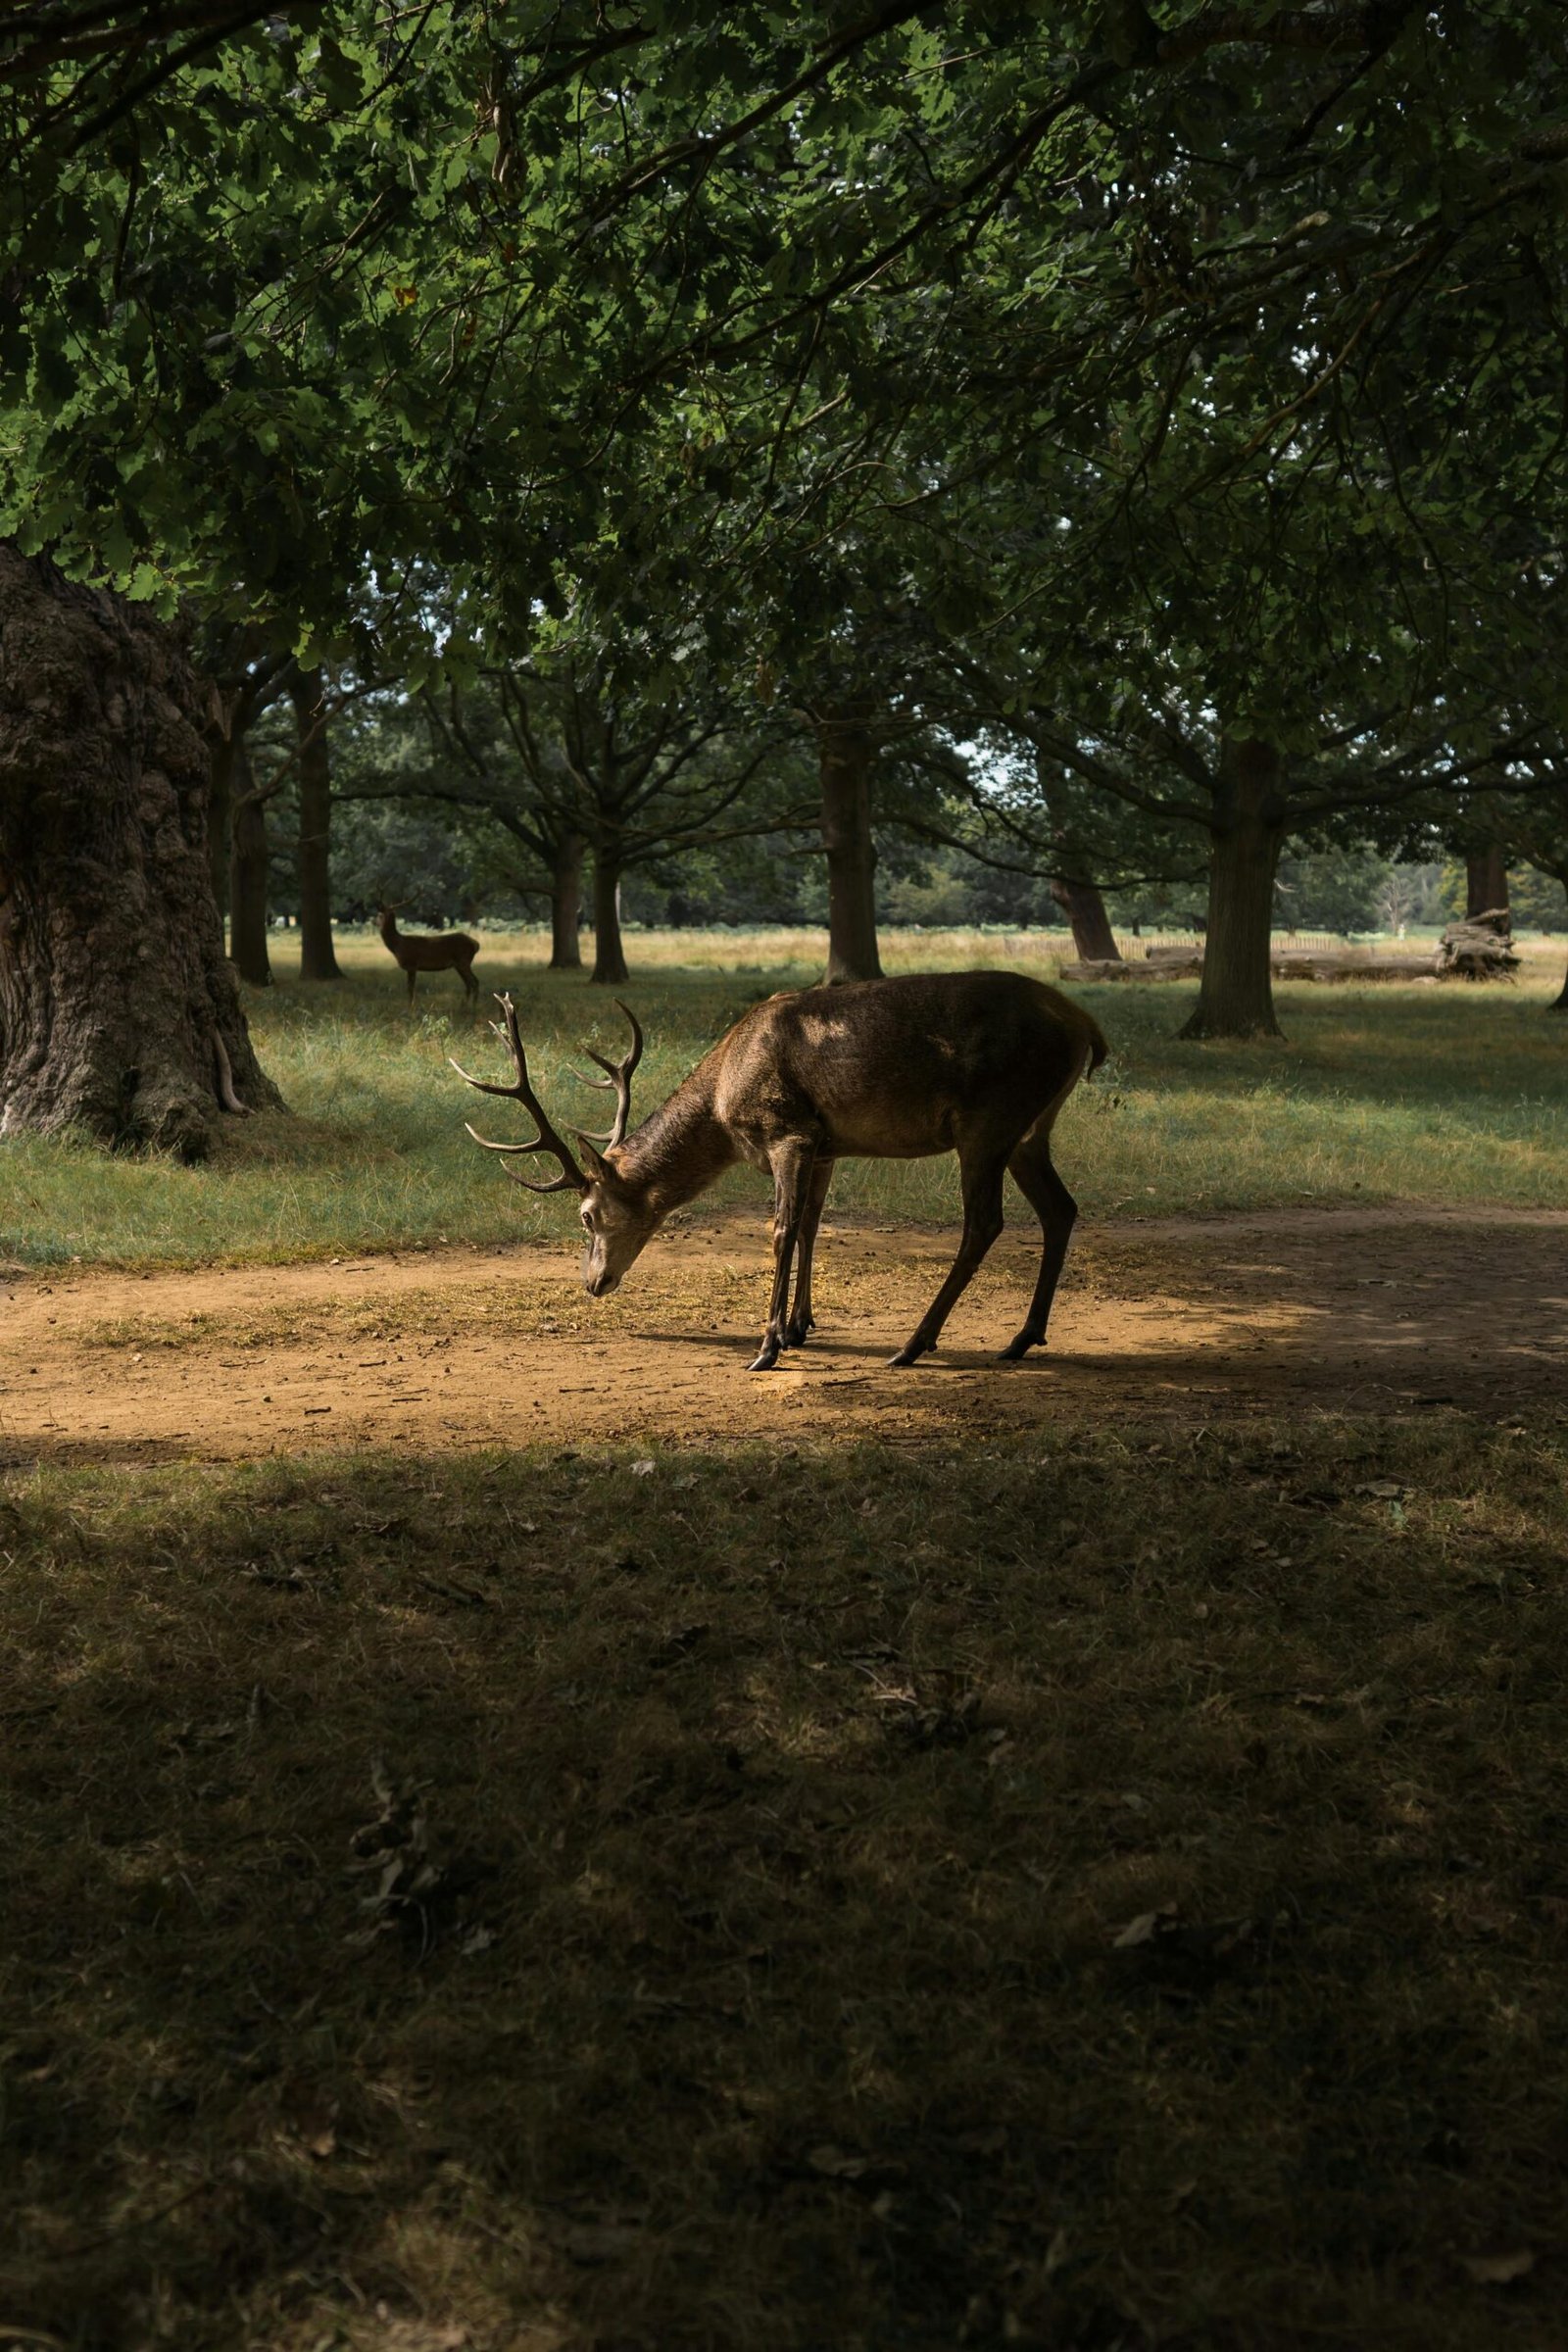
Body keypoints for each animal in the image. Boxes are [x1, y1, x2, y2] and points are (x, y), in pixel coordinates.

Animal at [453, 973, 1109, 1373]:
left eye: (587, 1215)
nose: (592, 1283)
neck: (724, 1103)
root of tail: (1086, 1026)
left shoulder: (786, 1130)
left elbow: (781, 1231)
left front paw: (767, 1344)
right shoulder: (825, 1146)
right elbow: (814, 1226)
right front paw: (799, 1326)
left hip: (989, 1118)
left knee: (985, 1223)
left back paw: (914, 1344)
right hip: (1030, 1129)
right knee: (1061, 1208)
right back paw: (1022, 1338)